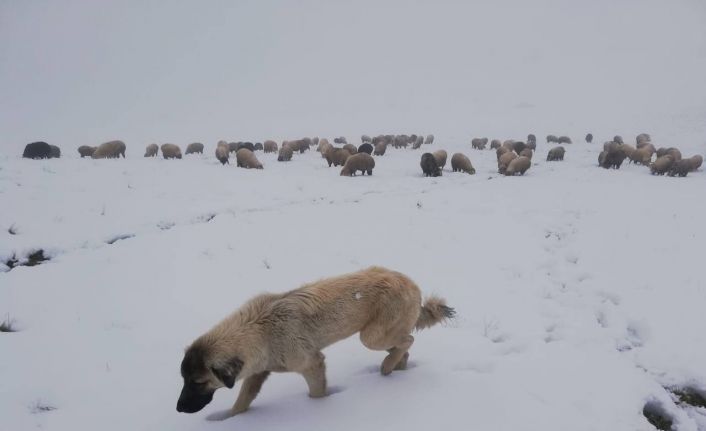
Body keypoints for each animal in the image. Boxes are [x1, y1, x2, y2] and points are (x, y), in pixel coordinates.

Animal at [175, 266, 452, 418]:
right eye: (184, 380)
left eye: (198, 382)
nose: (178, 408)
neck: (260, 331)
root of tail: (412, 283)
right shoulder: (257, 373)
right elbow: (241, 402)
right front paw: (231, 419)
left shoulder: (312, 363)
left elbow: (317, 394)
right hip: (380, 333)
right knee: (404, 346)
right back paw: (396, 368)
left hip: (371, 336)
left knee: (408, 339)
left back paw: (386, 367)